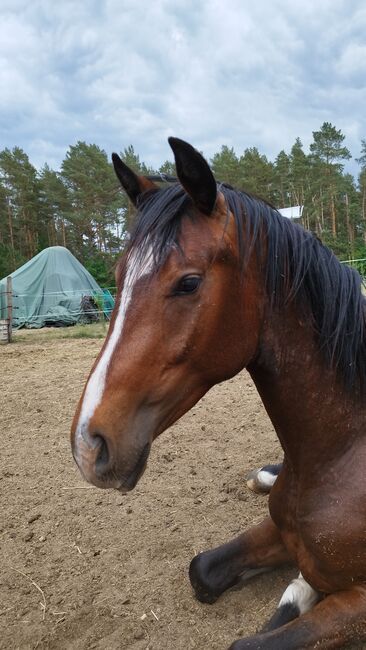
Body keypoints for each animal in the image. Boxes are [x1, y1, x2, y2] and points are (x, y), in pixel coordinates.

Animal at [71, 134, 366, 644]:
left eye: (188, 282)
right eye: (118, 276)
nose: (89, 446)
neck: (341, 456)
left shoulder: (361, 599)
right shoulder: (278, 529)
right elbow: (202, 569)